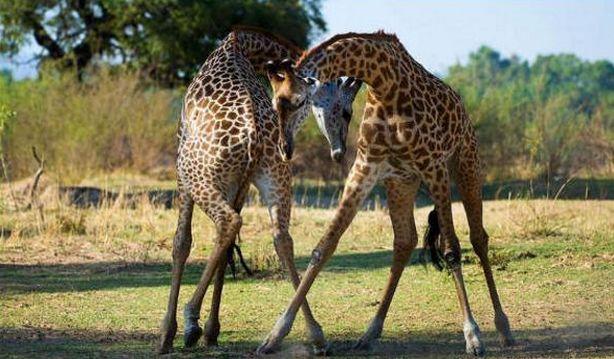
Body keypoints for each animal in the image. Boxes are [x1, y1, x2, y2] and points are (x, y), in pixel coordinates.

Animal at [156, 27, 364, 354]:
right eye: (346, 111)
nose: (340, 150)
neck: (242, 45)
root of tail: (253, 135)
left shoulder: (181, 164)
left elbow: (182, 242)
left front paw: (171, 332)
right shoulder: (238, 183)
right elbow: (227, 248)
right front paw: (212, 331)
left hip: (193, 172)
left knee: (228, 222)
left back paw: (189, 319)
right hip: (274, 177)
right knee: (281, 238)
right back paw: (315, 335)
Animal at [258, 31, 516, 358]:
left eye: (300, 101)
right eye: (275, 104)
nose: (285, 149)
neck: (384, 85)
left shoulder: (434, 166)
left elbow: (451, 250)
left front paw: (472, 335)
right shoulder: (365, 167)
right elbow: (324, 246)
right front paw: (276, 335)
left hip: (465, 163)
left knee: (478, 237)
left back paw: (504, 328)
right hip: (402, 183)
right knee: (405, 242)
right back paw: (369, 332)